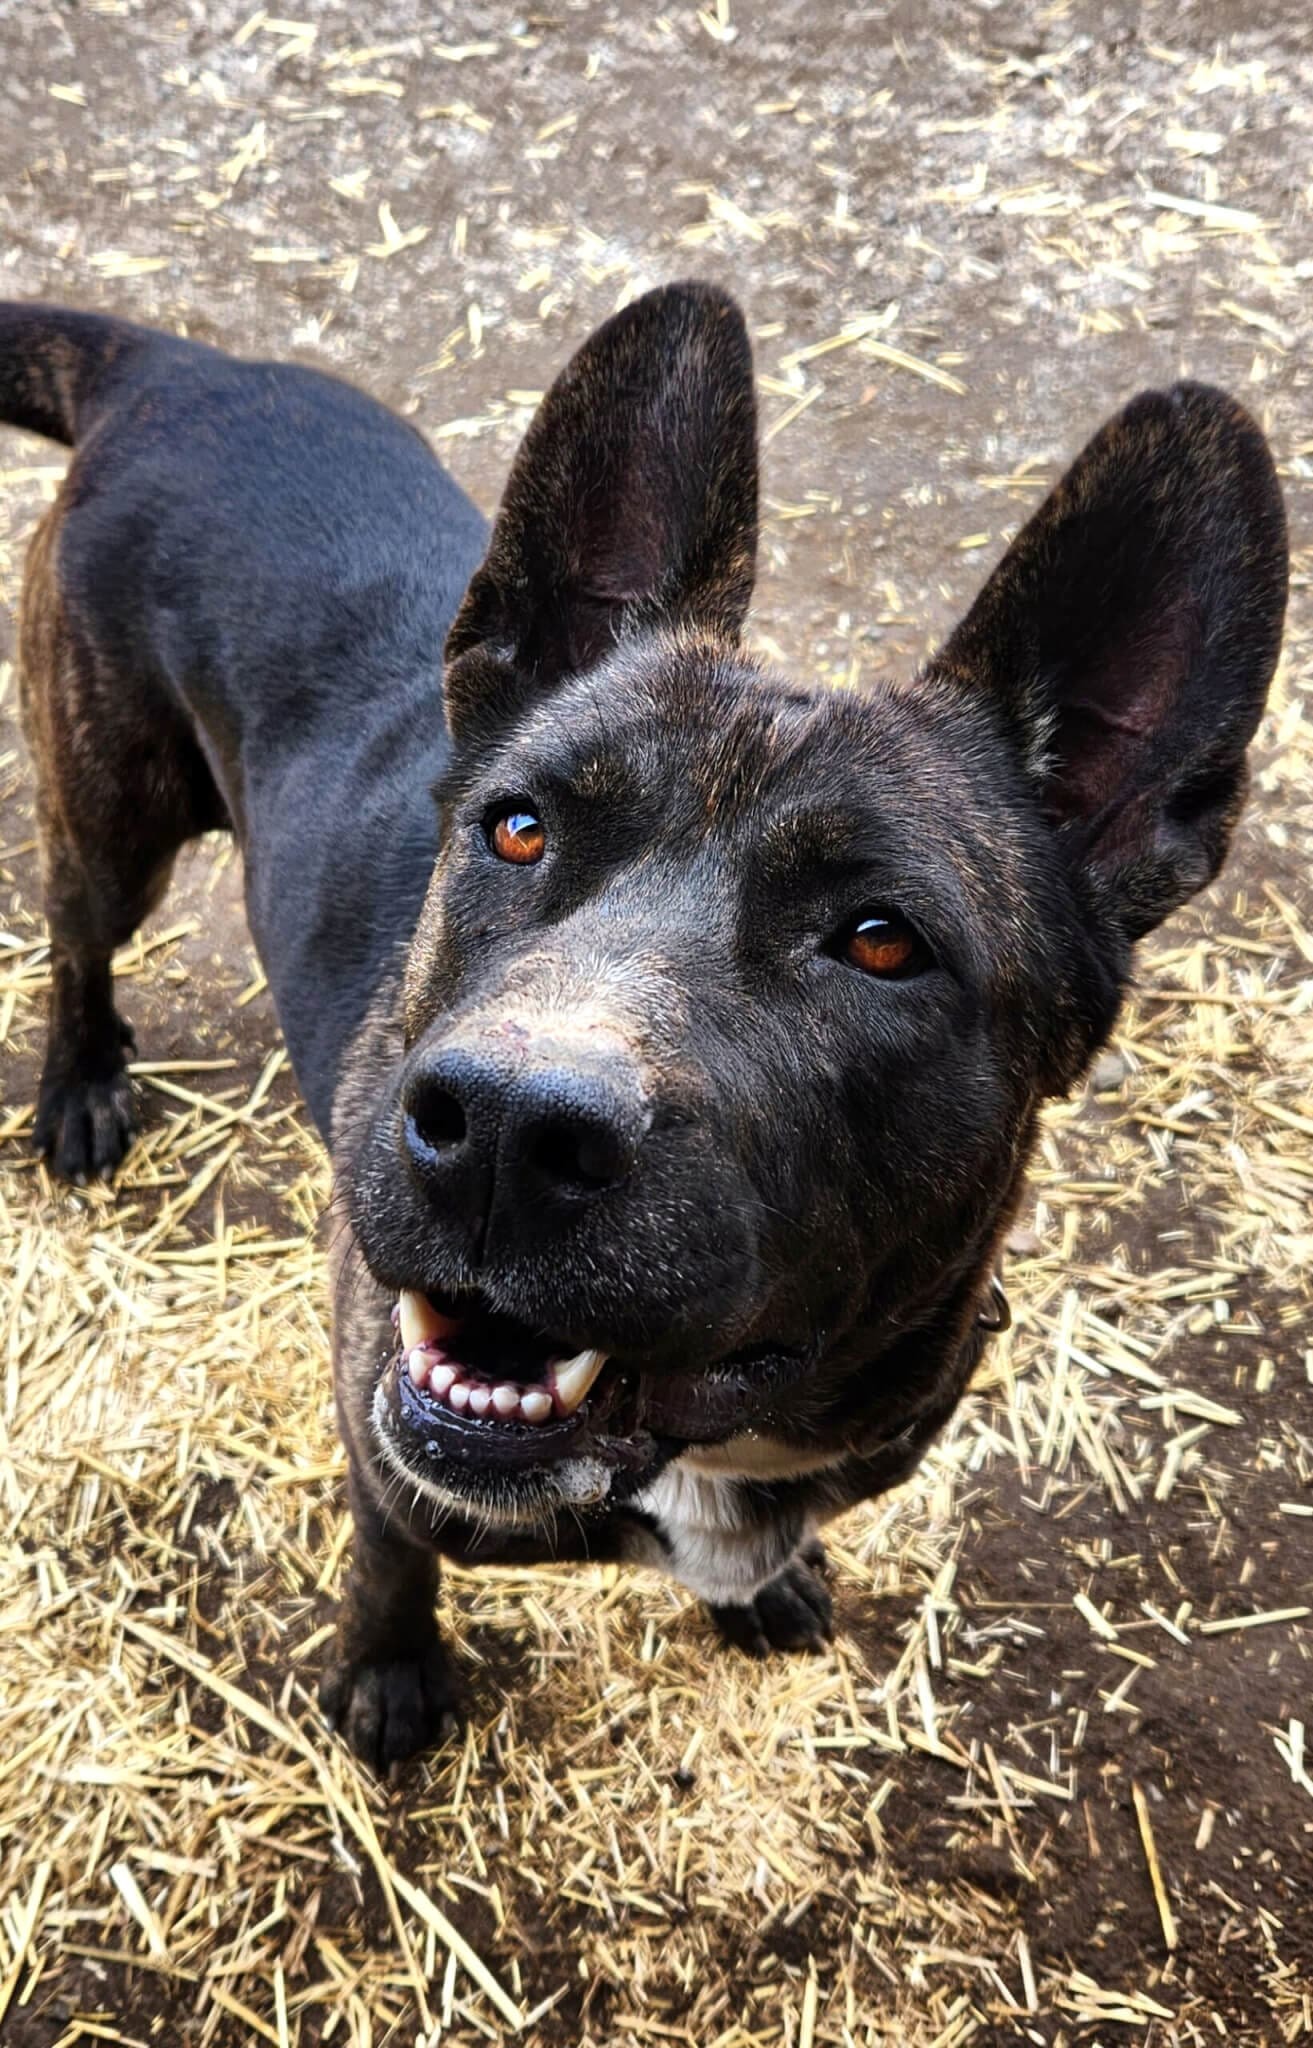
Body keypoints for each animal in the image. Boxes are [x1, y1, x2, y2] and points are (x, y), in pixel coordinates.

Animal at [0, 280, 1286, 1769]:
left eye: (881, 942)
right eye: (516, 827)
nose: (502, 1132)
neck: (717, 1445)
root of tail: (175, 369)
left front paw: (759, 1588)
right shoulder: (377, 1426)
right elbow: (389, 1553)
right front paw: (389, 1672)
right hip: (114, 812)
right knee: (79, 936)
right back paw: (80, 1086)